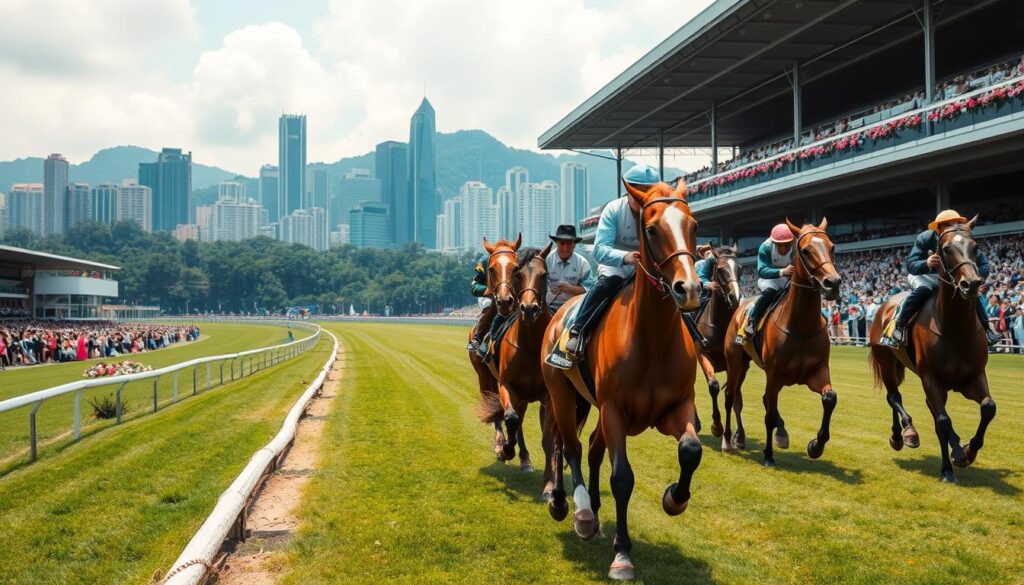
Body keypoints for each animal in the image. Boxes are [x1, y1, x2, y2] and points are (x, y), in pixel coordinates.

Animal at [475, 244, 557, 491]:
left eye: (544, 275)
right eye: (518, 275)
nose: (529, 309)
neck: (530, 345)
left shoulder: (548, 394)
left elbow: (547, 437)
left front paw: (549, 485)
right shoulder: (507, 385)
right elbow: (510, 418)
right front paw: (505, 450)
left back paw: (525, 459)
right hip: (486, 379)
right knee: (506, 415)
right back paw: (501, 445)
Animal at [544, 181, 704, 581]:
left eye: (693, 225)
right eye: (652, 229)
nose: (690, 289)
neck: (650, 338)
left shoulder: (677, 406)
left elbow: (690, 450)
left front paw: (674, 498)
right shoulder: (614, 409)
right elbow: (622, 478)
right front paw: (622, 554)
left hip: (588, 404)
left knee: (590, 448)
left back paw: (592, 509)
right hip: (562, 394)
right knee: (569, 446)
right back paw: (578, 510)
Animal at [720, 219, 839, 467]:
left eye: (832, 247)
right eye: (805, 251)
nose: (833, 283)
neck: (801, 327)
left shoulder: (816, 371)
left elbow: (830, 398)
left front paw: (816, 445)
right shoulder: (774, 375)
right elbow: (769, 414)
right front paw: (768, 455)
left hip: (745, 365)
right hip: (734, 362)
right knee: (730, 397)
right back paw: (727, 440)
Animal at [868, 217, 995, 483]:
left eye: (976, 246)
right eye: (945, 249)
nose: (971, 284)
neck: (955, 329)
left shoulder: (973, 377)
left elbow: (988, 407)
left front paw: (968, 450)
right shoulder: (931, 378)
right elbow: (943, 421)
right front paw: (950, 464)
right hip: (886, 361)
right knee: (894, 396)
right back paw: (905, 433)